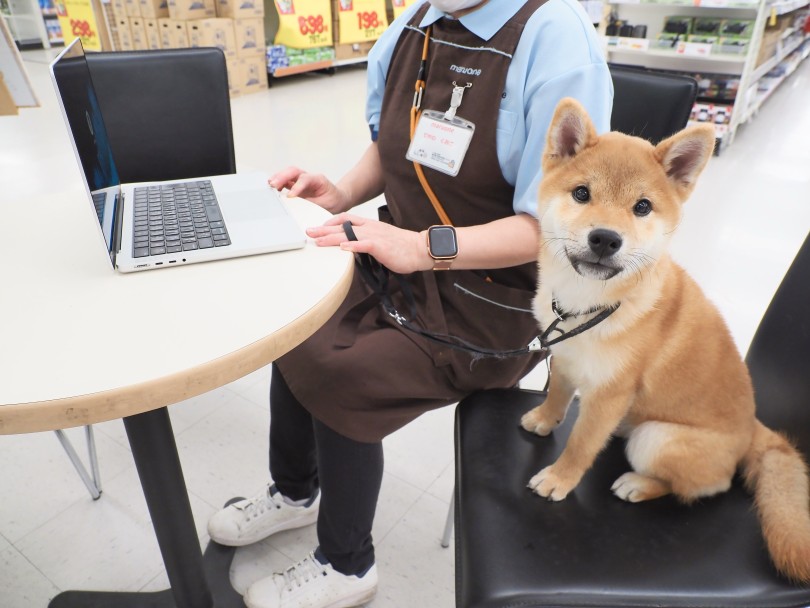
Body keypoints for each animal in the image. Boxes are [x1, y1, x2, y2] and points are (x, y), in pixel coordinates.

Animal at [516, 97, 808, 580]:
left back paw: (639, 484)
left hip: (656, 438)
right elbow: (558, 396)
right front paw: (544, 418)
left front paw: (560, 478)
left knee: (709, 485)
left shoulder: (611, 394)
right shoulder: (566, 356)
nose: (605, 239)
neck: (587, 303)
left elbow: (580, 444)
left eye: (642, 207)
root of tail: (754, 430)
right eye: (582, 194)